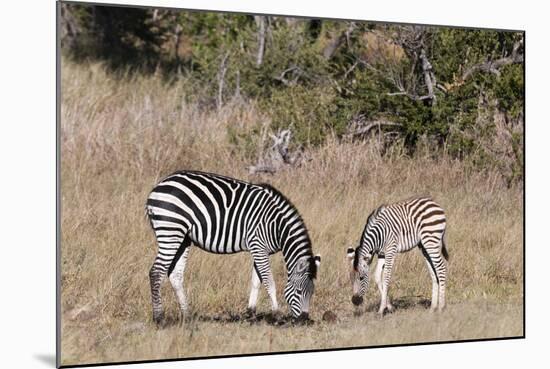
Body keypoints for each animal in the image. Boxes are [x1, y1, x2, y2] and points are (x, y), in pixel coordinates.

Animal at [147, 170, 322, 322]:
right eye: (299, 291)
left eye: (312, 293)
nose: (304, 320)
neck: (276, 226)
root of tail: (157, 187)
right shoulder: (258, 246)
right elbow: (269, 282)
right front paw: (277, 314)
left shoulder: (260, 249)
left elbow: (256, 282)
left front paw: (250, 313)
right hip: (170, 230)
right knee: (156, 272)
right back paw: (159, 318)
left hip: (183, 238)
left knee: (175, 275)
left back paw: (187, 316)